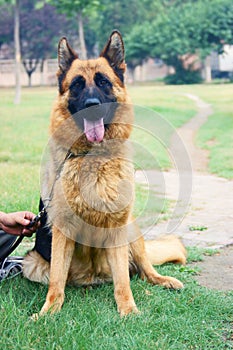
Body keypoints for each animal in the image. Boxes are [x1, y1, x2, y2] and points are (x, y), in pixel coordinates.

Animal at [22, 31, 187, 316]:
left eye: (103, 82)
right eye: (77, 85)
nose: (92, 104)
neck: (93, 157)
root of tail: (93, 277)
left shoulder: (117, 228)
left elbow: (123, 279)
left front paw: (128, 310)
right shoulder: (62, 231)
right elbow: (56, 281)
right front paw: (49, 311)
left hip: (132, 229)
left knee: (143, 270)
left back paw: (162, 280)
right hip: (31, 263)